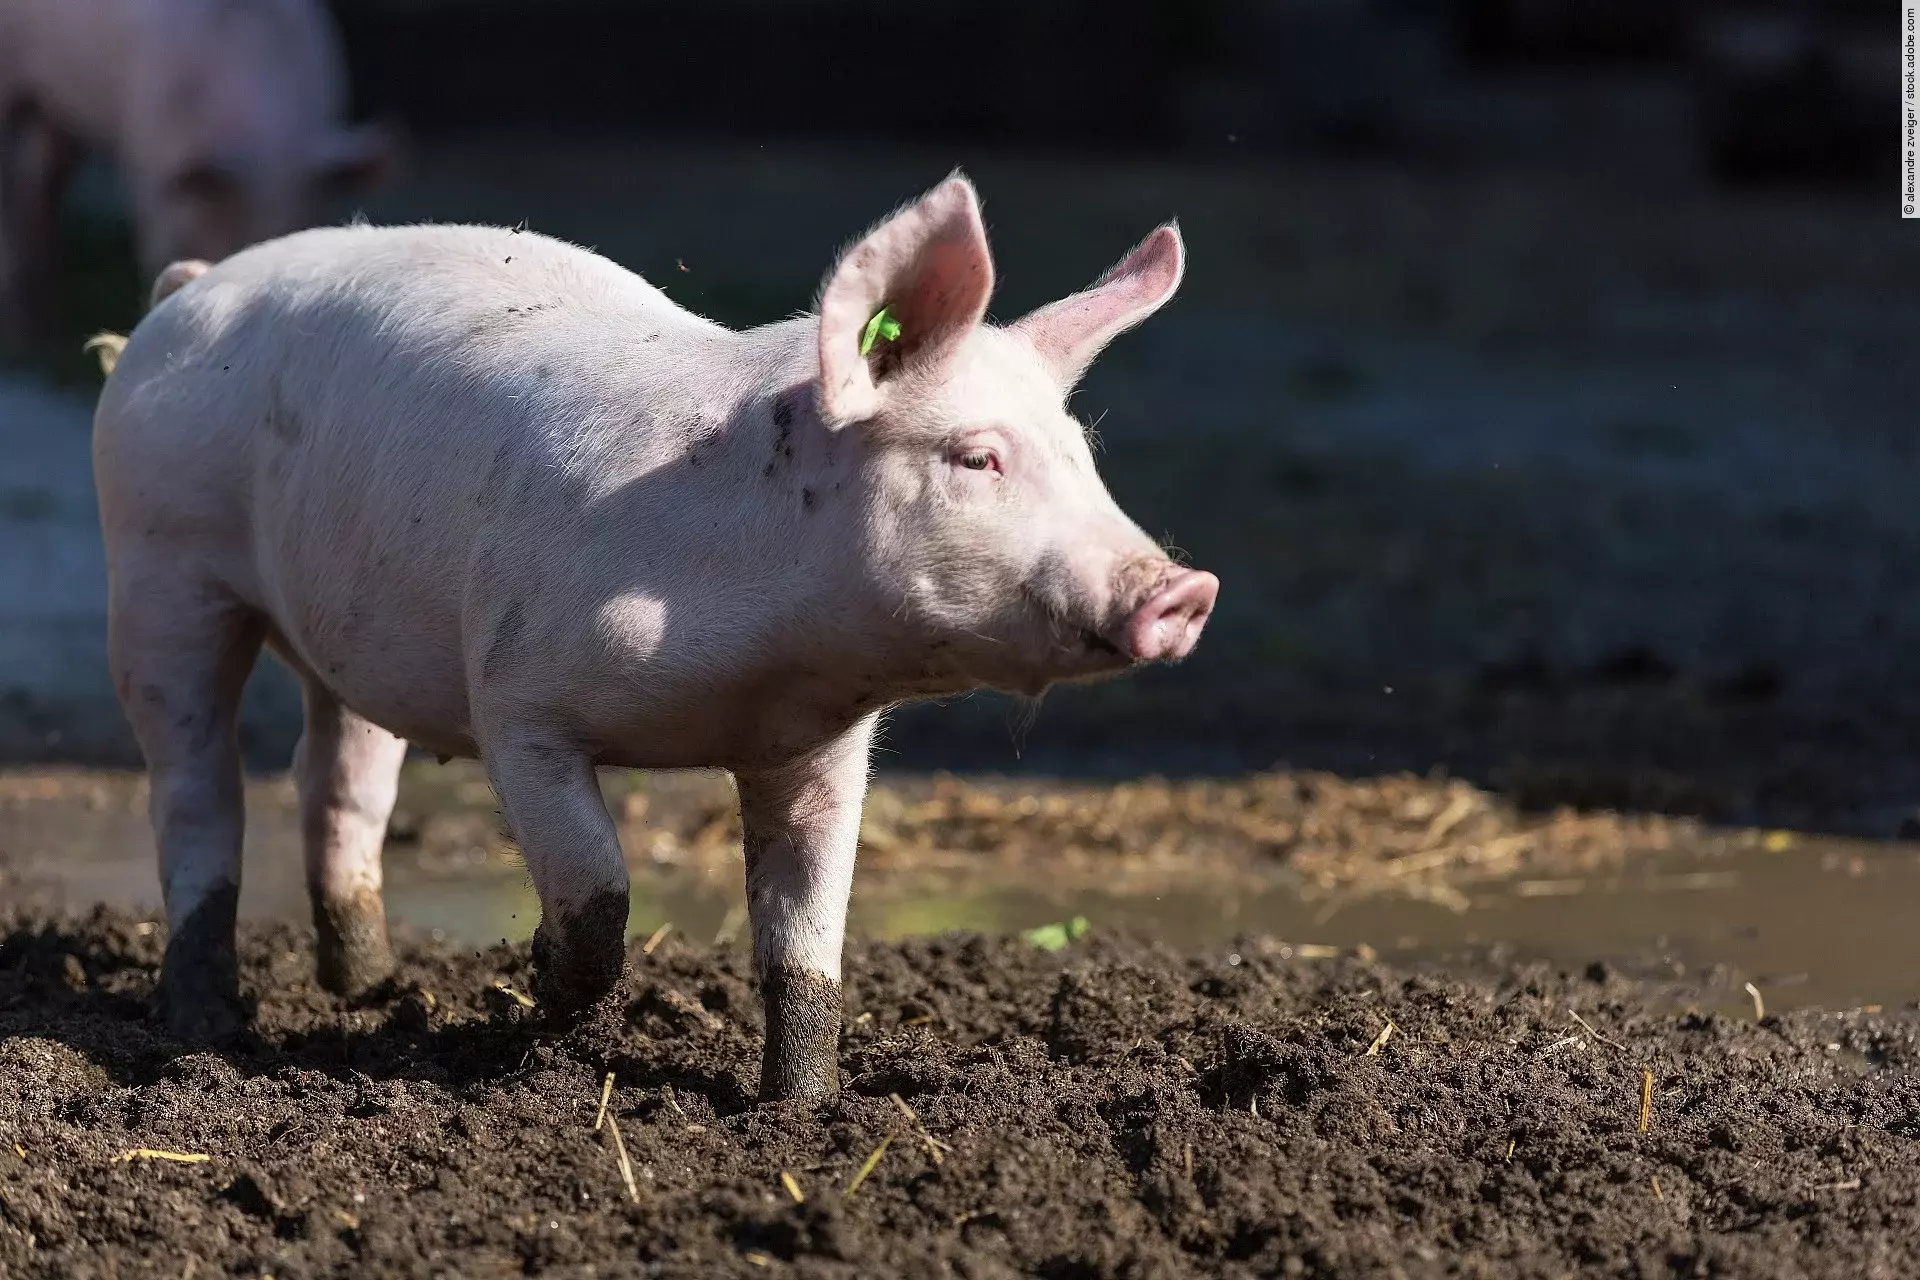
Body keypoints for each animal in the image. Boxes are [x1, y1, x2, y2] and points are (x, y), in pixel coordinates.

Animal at [0, 0, 395, 343]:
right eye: (226, 218)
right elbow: (155, 243)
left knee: (45, 179)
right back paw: (22, 335)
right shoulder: (154, 151)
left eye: (298, 220)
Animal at [92, 174, 1217, 1099]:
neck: (764, 669)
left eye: (1082, 454)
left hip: (353, 623)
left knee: (338, 780)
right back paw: (204, 1022)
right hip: (158, 565)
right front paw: (537, 994)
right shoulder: (517, 701)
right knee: (196, 789)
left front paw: (802, 1107)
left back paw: (367, 990)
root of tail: (187, 290)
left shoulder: (819, 749)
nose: (1184, 586)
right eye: (976, 457)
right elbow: (597, 892)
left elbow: (808, 935)